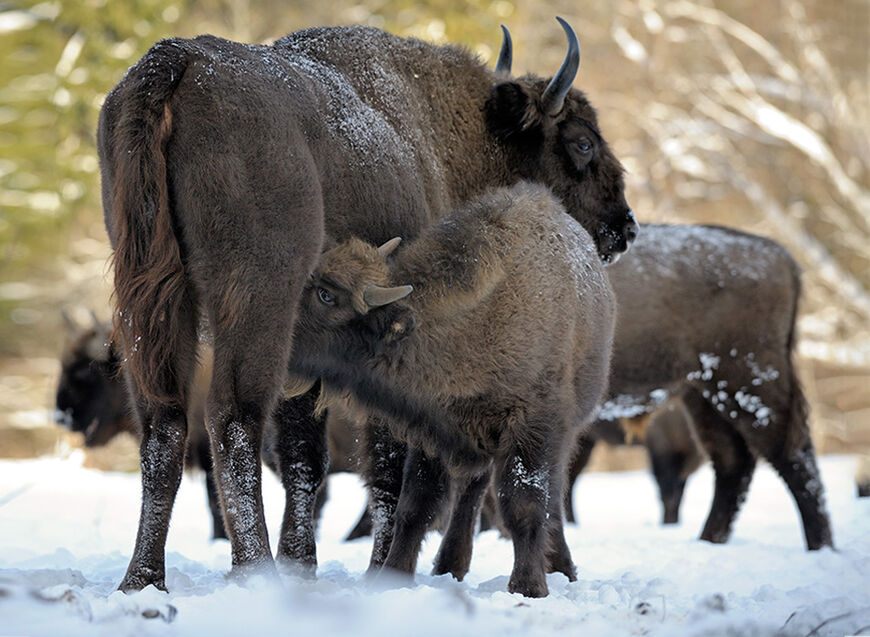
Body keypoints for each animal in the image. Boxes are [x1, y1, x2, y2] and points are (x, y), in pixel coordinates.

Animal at [290, 180, 616, 596]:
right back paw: (450, 566)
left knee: (550, 497)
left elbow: (525, 504)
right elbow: (416, 506)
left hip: (559, 432)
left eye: (326, 295)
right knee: (472, 493)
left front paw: (528, 587)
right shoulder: (434, 429)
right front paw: (393, 577)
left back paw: (562, 570)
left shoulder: (533, 428)